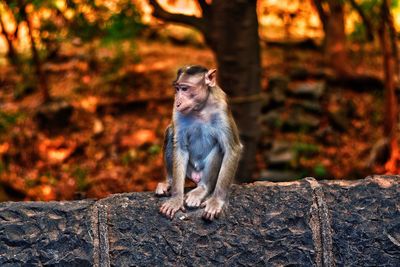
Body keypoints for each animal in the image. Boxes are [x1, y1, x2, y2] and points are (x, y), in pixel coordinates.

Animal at [155, 65, 242, 222]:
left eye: (185, 89)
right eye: (177, 89)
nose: (178, 101)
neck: (201, 108)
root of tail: (196, 176)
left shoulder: (222, 108)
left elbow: (232, 148)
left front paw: (216, 201)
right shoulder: (176, 110)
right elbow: (180, 146)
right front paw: (176, 199)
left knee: (220, 146)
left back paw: (203, 189)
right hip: (189, 171)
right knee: (170, 132)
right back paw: (169, 181)